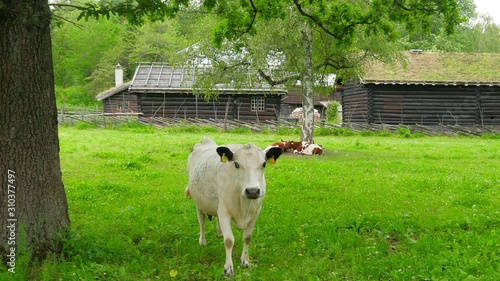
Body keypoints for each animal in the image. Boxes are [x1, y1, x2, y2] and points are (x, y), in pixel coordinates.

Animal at [186, 138, 284, 276]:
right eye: (236, 164)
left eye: (264, 164)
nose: (252, 191)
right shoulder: (224, 212)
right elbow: (229, 241)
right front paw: (228, 268)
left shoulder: (256, 213)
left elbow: (247, 238)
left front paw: (245, 261)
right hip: (199, 203)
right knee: (201, 221)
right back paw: (202, 241)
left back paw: (219, 233)